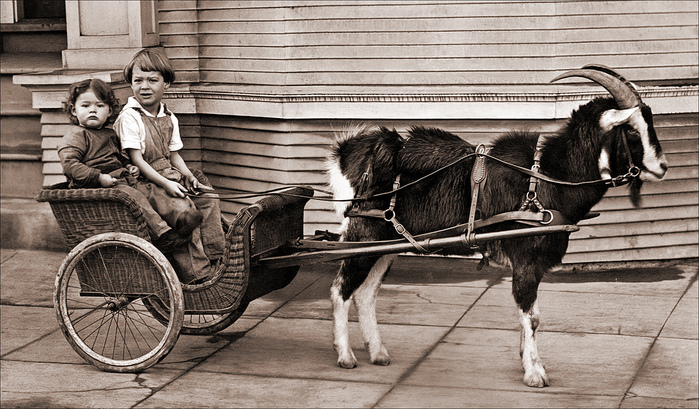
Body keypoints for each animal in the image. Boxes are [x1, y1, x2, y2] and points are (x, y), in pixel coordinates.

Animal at [326, 66, 668, 386]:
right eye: (632, 131)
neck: (550, 177)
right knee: (341, 290)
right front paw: (535, 373)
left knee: (366, 293)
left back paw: (378, 353)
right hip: (364, 235)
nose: (662, 167)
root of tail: (348, 155)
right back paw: (345, 356)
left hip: (385, 244)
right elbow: (532, 317)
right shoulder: (527, 258)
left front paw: (527, 360)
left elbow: (530, 317)